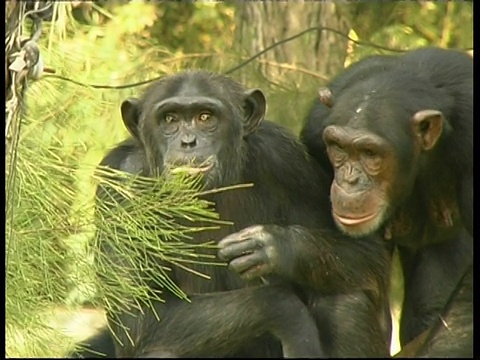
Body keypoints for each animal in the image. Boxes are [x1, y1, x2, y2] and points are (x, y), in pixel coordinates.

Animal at [72, 70, 394, 358]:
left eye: (205, 117)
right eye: (170, 119)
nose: (188, 142)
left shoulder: (287, 159)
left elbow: (366, 252)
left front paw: (275, 247)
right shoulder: (123, 183)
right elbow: (138, 318)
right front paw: (290, 318)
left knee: (347, 302)